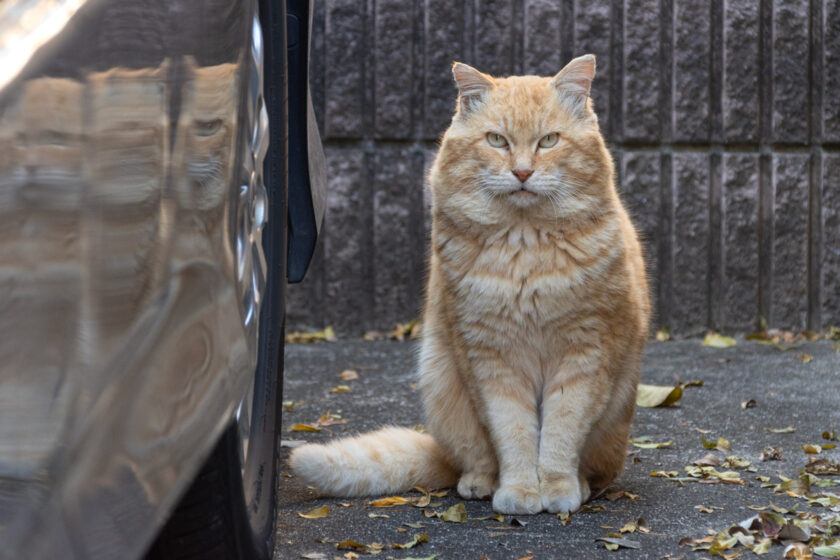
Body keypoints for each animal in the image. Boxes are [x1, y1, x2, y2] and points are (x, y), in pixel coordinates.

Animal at [288, 54, 648, 516]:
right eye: (496, 140)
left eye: (549, 141)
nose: (522, 172)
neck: (525, 249)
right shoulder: (490, 361)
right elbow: (513, 433)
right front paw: (519, 490)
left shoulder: (584, 356)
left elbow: (560, 432)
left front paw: (556, 487)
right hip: (443, 382)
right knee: (474, 460)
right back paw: (480, 483)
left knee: (596, 469)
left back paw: (582, 485)